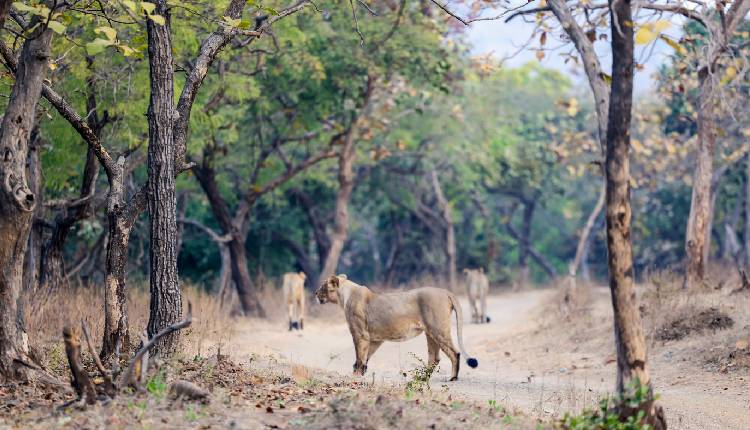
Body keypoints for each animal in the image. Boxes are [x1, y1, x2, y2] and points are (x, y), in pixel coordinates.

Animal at [315, 275, 478, 381]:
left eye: (323, 286)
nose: (315, 293)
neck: (344, 295)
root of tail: (445, 291)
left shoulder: (360, 334)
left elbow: (360, 357)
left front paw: (355, 377)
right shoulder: (374, 339)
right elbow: (365, 357)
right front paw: (359, 373)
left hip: (438, 329)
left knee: (454, 353)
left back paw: (452, 378)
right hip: (430, 333)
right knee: (434, 357)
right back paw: (422, 378)